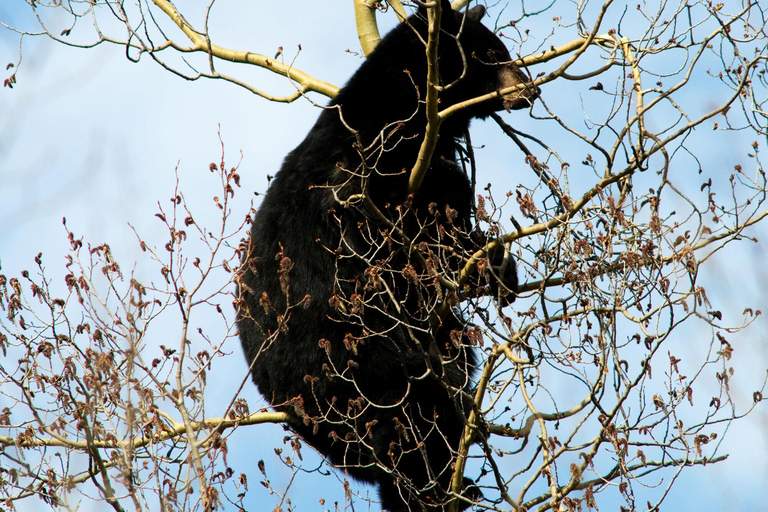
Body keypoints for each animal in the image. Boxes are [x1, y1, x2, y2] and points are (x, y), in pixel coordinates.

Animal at [236, 2, 536, 510]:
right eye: (494, 54)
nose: (529, 87)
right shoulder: (369, 170)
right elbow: (418, 232)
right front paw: (486, 260)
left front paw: (498, 267)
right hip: (357, 360)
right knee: (413, 407)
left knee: (454, 352)